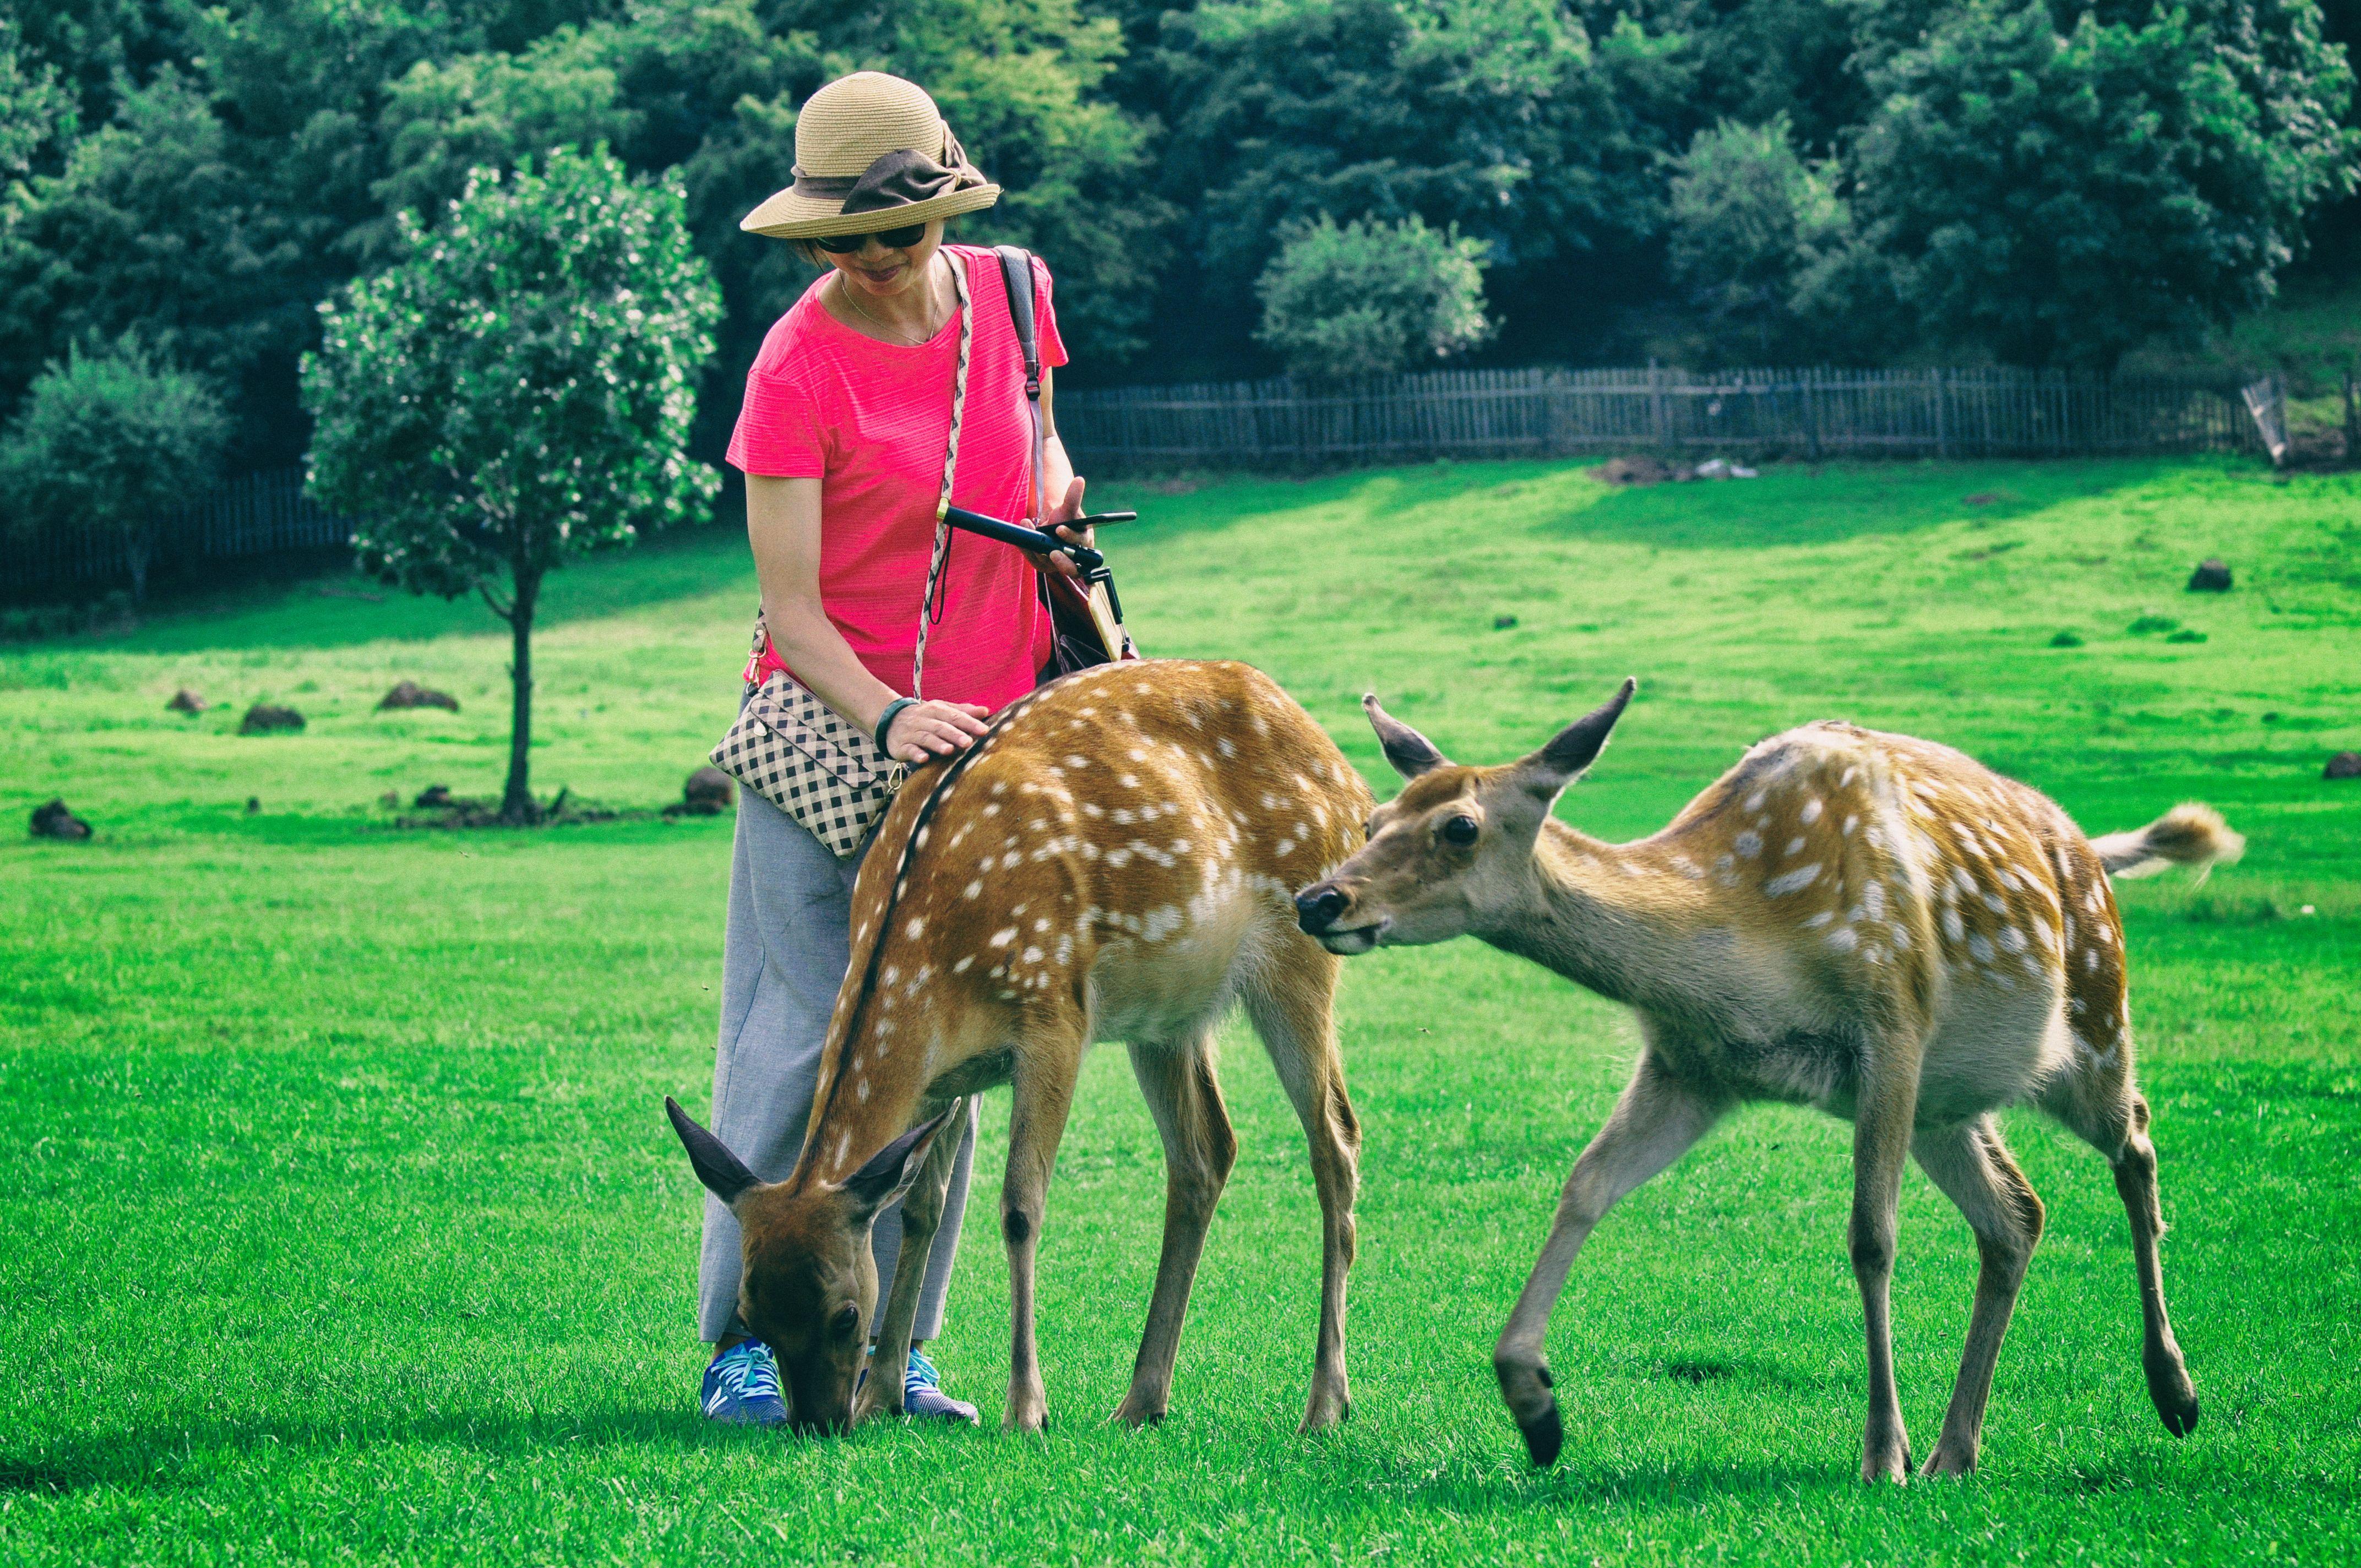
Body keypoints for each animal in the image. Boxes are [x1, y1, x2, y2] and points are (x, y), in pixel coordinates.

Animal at [666, 656, 1369, 1435]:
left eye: (845, 1314)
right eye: (753, 1312)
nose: (819, 1422)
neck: (929, 959)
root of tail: (1352, 780)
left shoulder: (1054, 1015)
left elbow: (1019, 1206)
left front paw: (1025, 1407)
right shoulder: (944, 1078)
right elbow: (920, 1209)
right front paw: (884, 1397)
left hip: (1301, 950)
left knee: (1336, 1139)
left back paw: (1324, 1403)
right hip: (1167, 1010)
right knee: (1206, 1151)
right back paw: (1142, 1399)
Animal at [1293, 680, 2228, 1473]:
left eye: (1460, 827)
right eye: (1374, 817)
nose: (1319, 900)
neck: (1750, 936)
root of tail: (2089, 850)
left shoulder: (1892, 1024)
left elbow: (1871, 1237)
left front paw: (1880, 1453)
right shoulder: (1694, 1066)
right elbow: (1585, 1183)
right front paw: (1536, 1406)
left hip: (2092, 1022)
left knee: (2136, 1137)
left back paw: (2174, 1392)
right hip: (1948, 1105)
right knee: (2017, 1215)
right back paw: (1957, 1451)